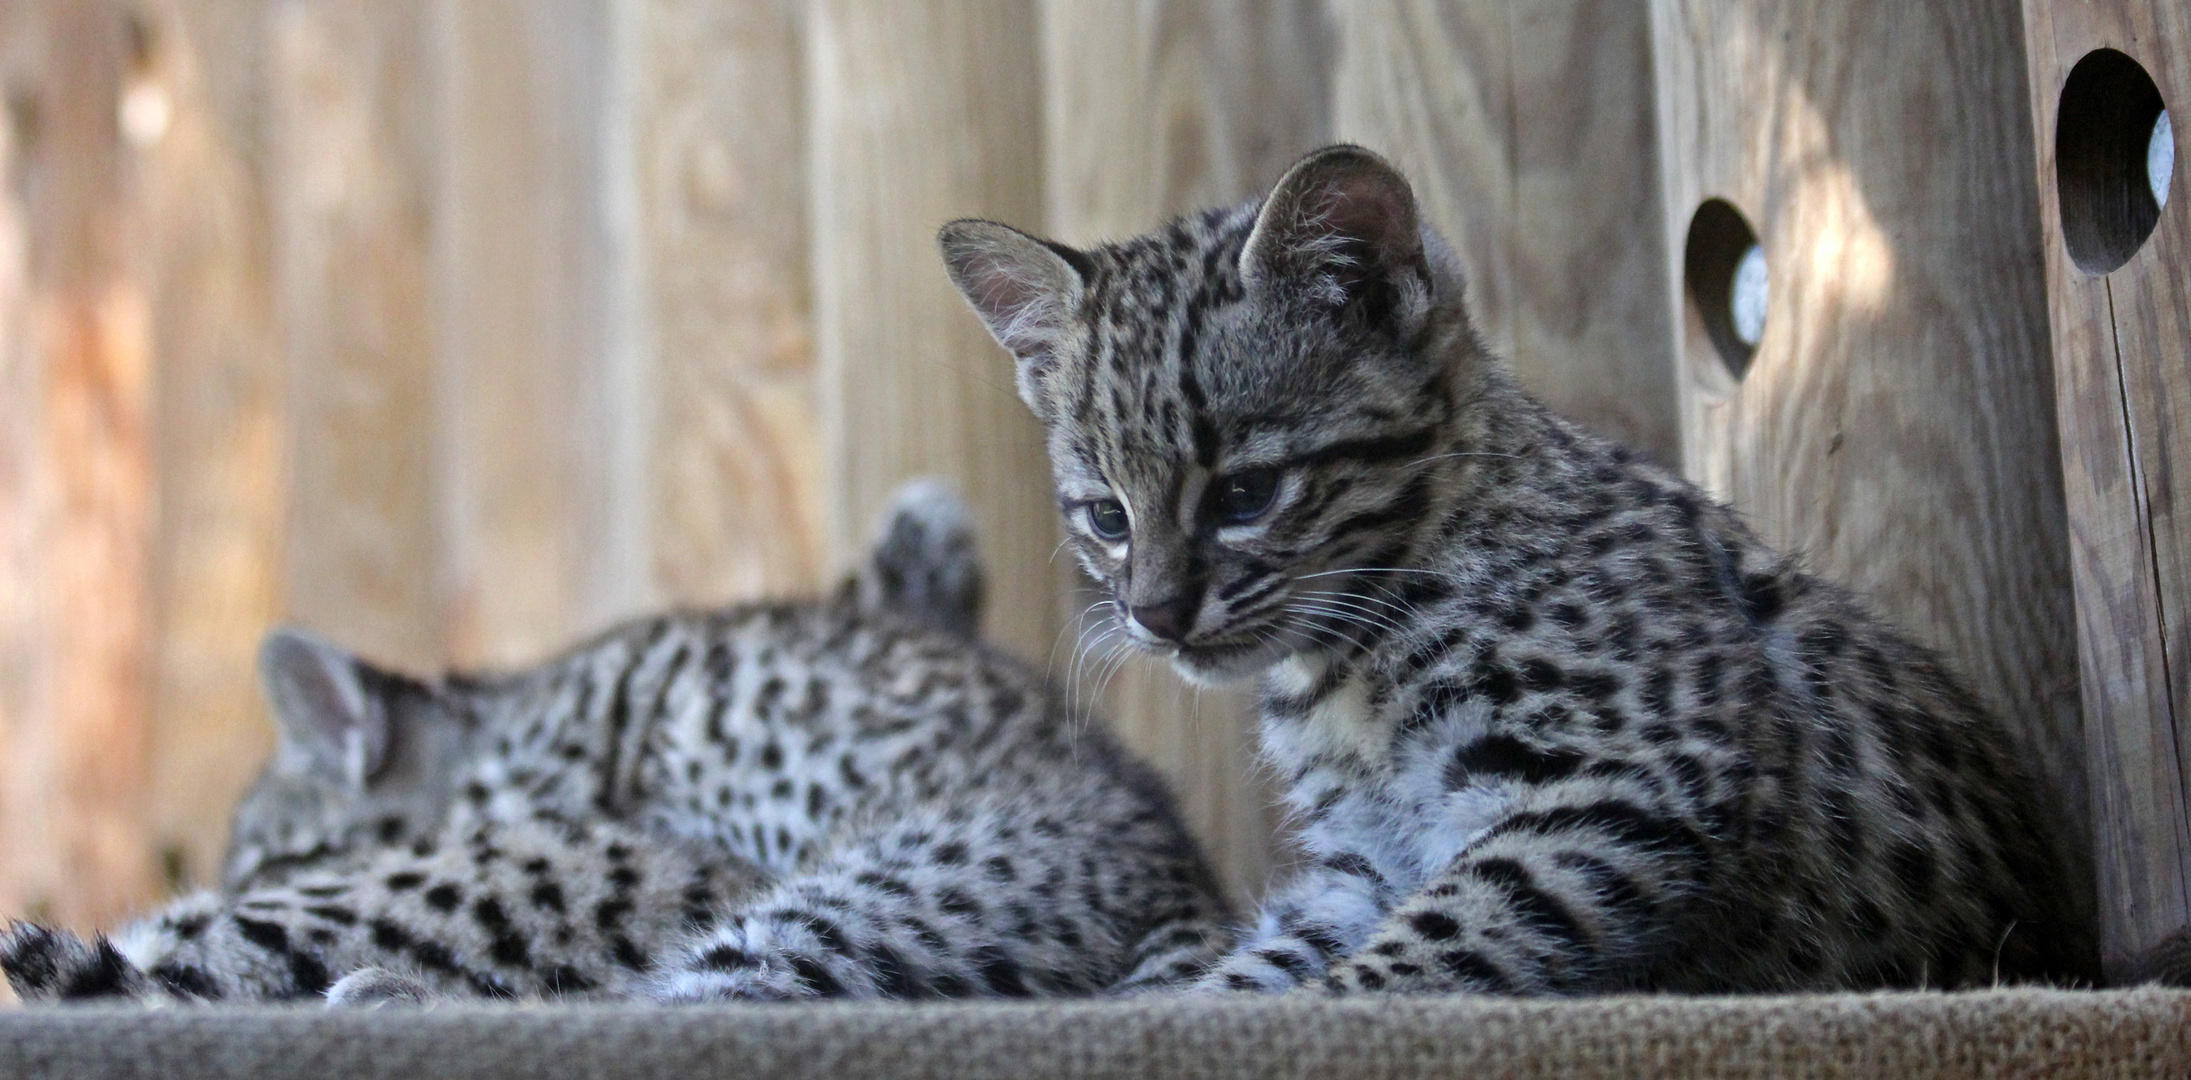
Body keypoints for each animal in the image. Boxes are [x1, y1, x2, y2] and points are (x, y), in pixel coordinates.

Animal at [933, 143, 2094, 994]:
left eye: (1244, 495)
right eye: (1107, 517)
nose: (1157, 618)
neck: (1342, 665)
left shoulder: (1628, 781)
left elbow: (1413, 954)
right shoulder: (1364, 862)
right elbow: (1261, 968)